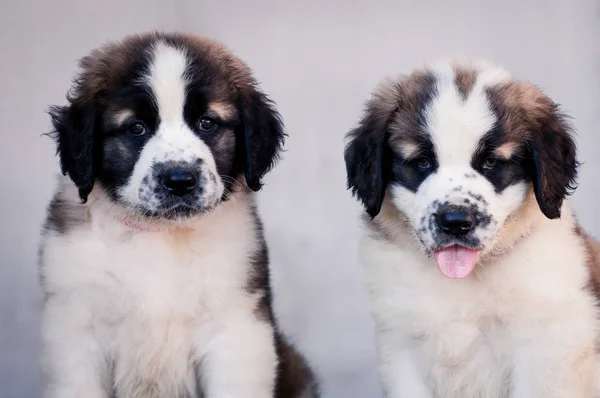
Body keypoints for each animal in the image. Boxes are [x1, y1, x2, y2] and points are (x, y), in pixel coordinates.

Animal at [38, 31, 318, 398]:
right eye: (137, 128)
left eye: (207, 123)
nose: (180, 180)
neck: (160, 234)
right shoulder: (75, 330)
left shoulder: (236, 330)